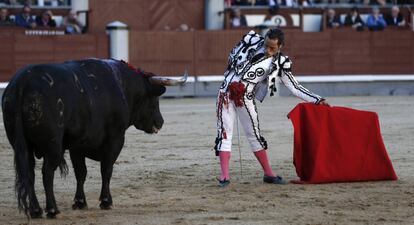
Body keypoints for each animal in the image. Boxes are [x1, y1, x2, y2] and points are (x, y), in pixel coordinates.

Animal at [1, 58, 188, 218]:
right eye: (154, 98)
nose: (160, 122)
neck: (122, 85)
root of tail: (22, 82)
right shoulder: (115, 138)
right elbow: (106, 169)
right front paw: (106, 201)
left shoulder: (77, 146)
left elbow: (81, 172)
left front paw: (79, 202)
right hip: (53, 145)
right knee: (47, 173)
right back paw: (52, 209)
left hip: (22, 145)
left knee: (29, 173)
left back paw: (35, 210)